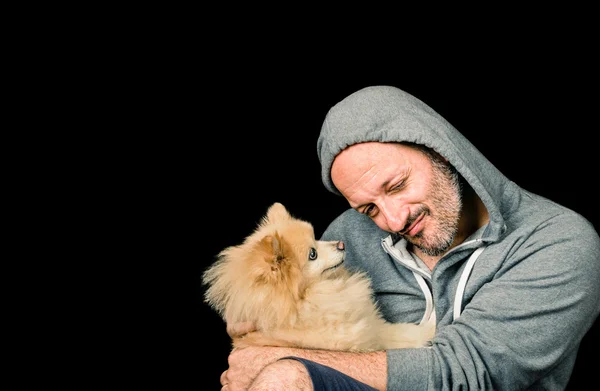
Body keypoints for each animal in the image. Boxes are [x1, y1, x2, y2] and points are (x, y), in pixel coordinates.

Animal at [203, 202, 436, 352]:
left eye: (316, 237)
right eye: (312, 254)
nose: (342, 244)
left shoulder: (372, 328)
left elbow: (402, 330)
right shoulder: (359, 338)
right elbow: (406, 334)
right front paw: (431, 325)